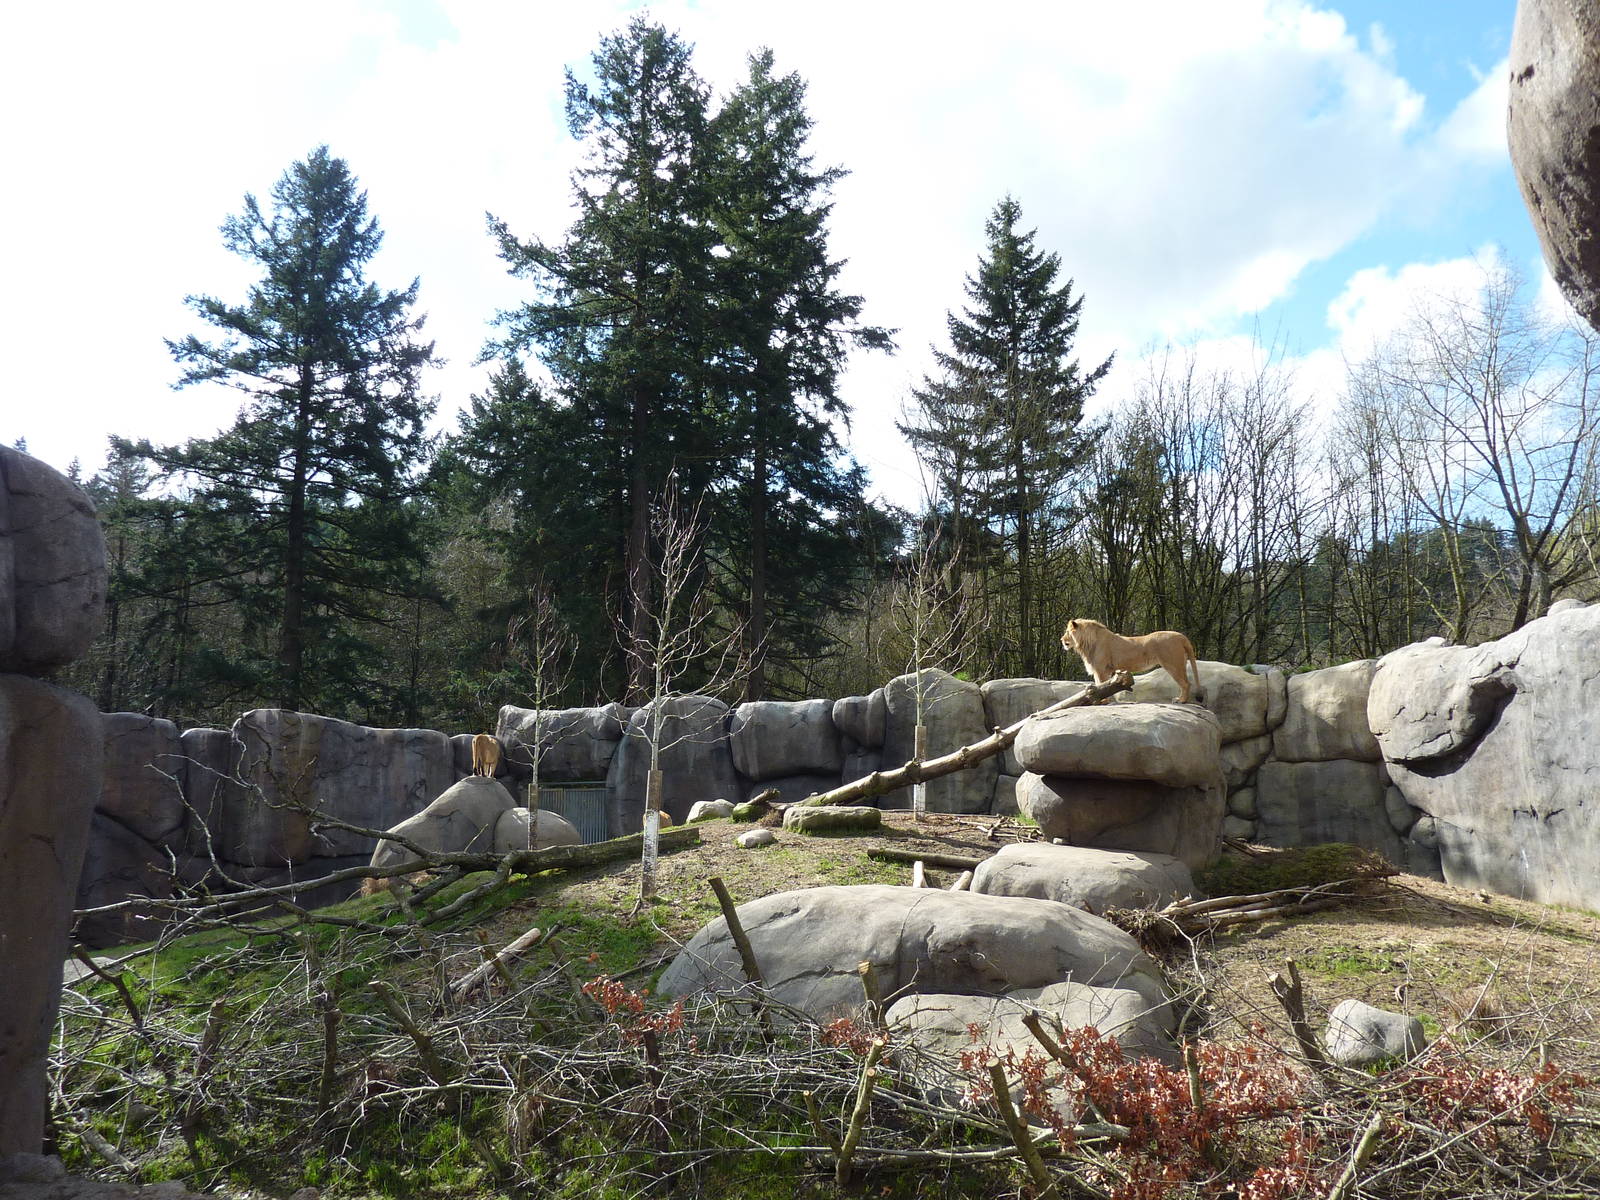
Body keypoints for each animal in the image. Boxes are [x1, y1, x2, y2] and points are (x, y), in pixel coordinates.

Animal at [1061, 617, 1203, 704]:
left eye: (1067, 631)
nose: (1061, 640)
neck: (1086, 644)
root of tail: (1181, 636)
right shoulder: (1100, 670)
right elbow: (1098, 684)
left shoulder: (1101, 669)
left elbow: (1100, 684)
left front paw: (1103, 702)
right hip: (1180, 664)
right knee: (1187, 682)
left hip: (1173, 664)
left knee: (1186, 683)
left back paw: (1181, 700)